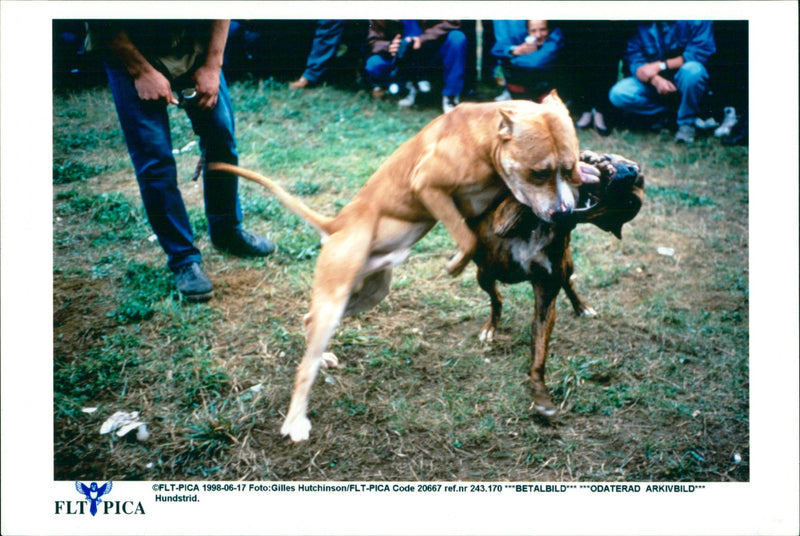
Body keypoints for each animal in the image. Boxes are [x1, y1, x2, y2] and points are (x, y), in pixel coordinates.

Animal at [208, 91, 580, 440]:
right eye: (539, 172)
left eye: (571, 169)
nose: (564, 214)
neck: (485, 138)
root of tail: (336, 225)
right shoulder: (427, 186)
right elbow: (467, 237)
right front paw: (455, 264)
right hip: (337, 296)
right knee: (305, 365)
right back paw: (295, 420)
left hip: (369, 292)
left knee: (310, 321)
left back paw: (321, 356)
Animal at [468, 150, 644, 414]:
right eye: (631, 166)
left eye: (631, 203)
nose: (631, 171)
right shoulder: (502, 220)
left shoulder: (546, 298)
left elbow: (539, 352)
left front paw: (540, 393)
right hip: (484, 274)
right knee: (496, 299)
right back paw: (490, 327)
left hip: (564, 265)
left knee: (567, 283)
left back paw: (582, 306)